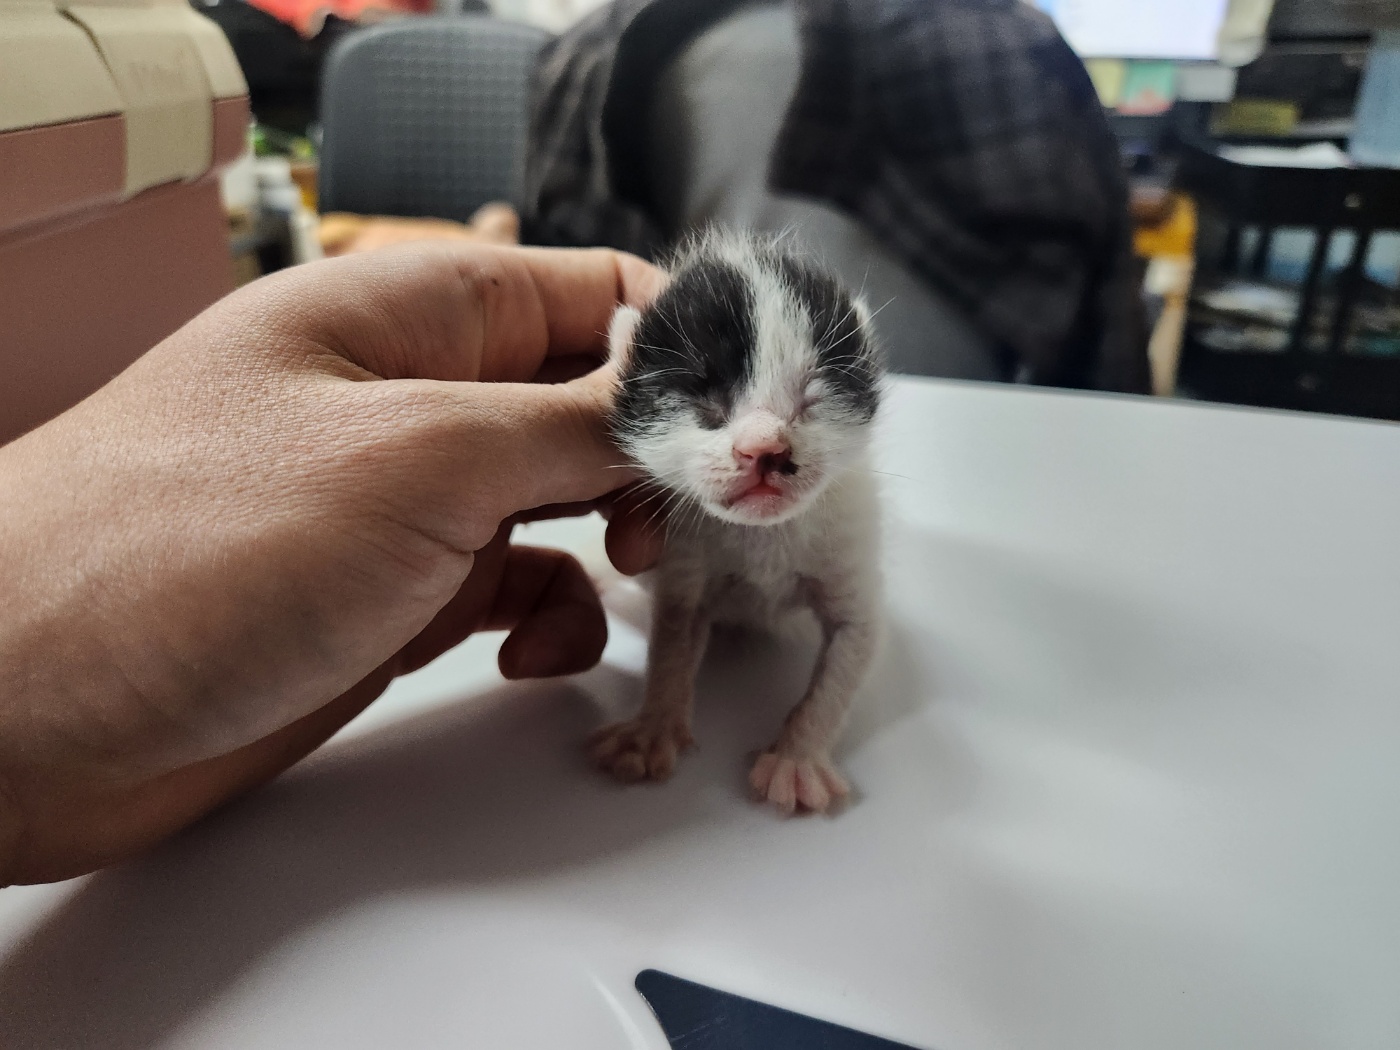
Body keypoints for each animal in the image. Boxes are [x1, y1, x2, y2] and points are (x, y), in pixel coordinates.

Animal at [593, 233, 884, 817]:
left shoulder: (847, 543)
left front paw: (797, 758)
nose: (765, 448)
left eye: (812, 398)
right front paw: (652, 729)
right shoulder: (685, 557)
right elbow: (673, 637)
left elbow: (848, 647)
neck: (763, 535)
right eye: (705, 398)